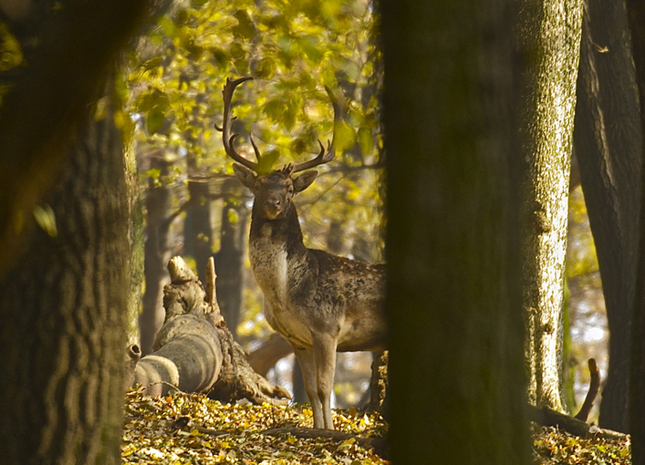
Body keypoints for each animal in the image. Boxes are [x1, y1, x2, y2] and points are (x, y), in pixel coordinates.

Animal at [216, 76, 388, 428]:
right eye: (258, 185)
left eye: (289, 188)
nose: (274, 203)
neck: (284, 294)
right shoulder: (298, 339)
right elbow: (310, 391)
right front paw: (319, 430)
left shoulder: (327, 327)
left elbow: (324, 388)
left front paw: (330, 431)